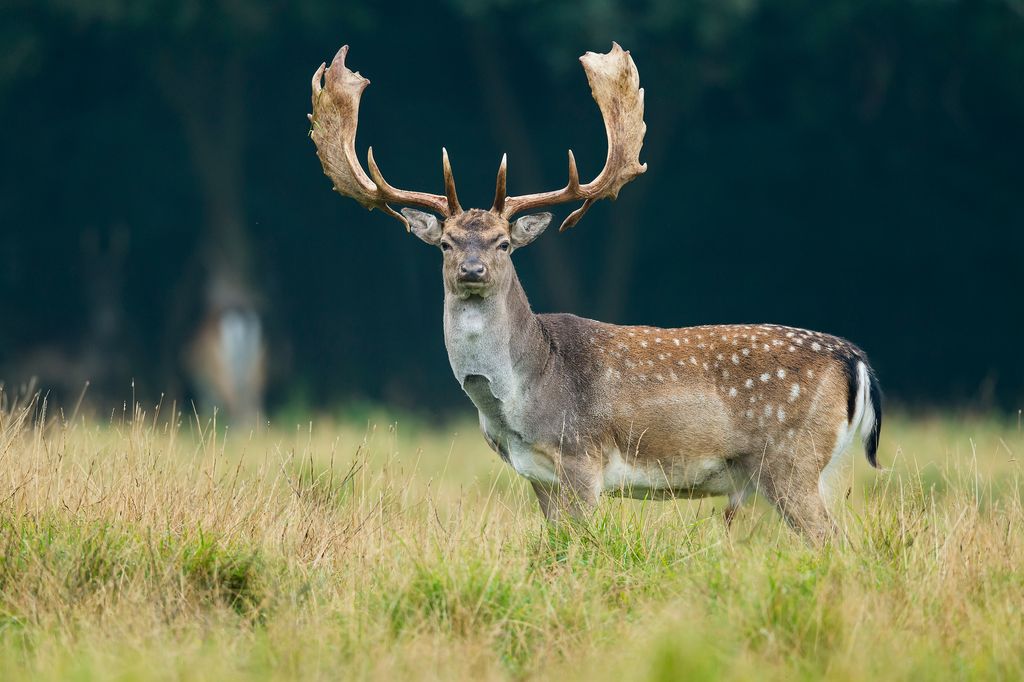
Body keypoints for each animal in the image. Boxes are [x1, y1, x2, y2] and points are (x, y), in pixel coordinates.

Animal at [305, 42, 880, 540]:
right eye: (445, 243)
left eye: (503, 243)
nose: (472, 269)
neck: (517, 400)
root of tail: (855, 358)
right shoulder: (537, 475)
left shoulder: (583, 459)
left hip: (791, 460)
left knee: (835, 543)